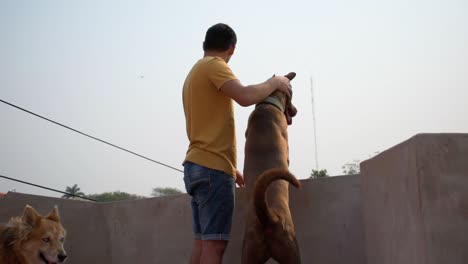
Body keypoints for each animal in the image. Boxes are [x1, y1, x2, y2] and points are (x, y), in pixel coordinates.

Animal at [241, 72, 304, 264]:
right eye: (292, 95)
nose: (296, 111)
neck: (267, 105)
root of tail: (269, 218)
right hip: (292, 252)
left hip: (249, 254)